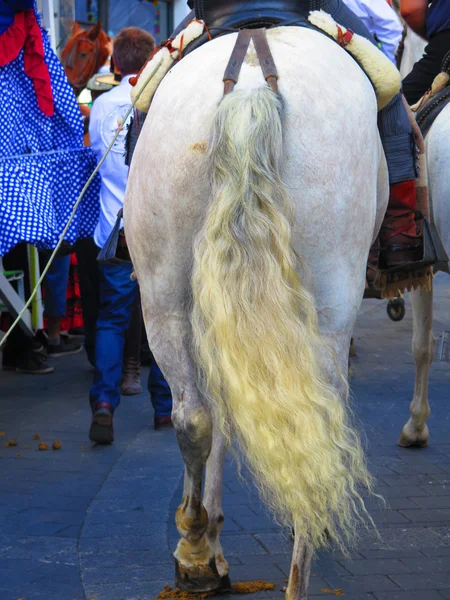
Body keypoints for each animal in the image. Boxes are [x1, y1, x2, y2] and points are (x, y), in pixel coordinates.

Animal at [125, 27, 416, 600]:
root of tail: (252, 85)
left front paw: (208, 548)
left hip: (164, 298)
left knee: (194, 416)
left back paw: (197, 550)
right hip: (327, 304)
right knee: (313, 423)